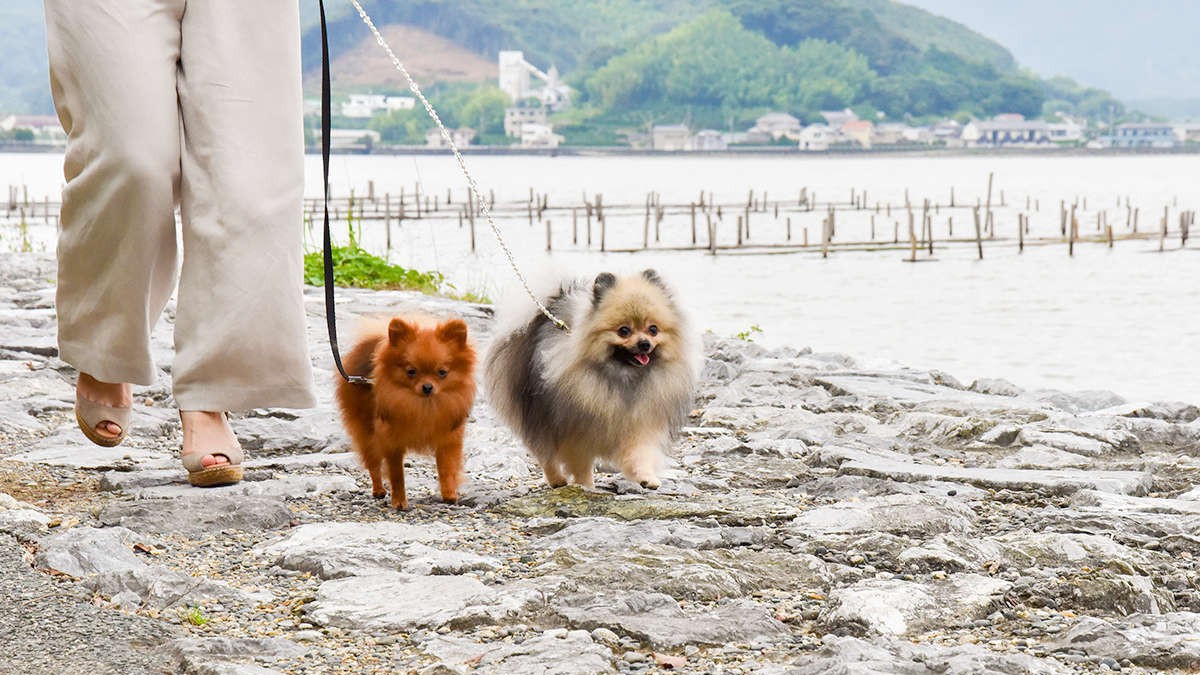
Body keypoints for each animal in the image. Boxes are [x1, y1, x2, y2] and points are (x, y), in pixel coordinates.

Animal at [336, 317, 475, 506]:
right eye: (411, 371)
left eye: (442, 372)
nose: (427, 387)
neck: (423, 406)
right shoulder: (391, 442)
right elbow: (396, 475)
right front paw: (399, 501)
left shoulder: (448, 439)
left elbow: (447, 468)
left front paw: (449, 494)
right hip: (367, 434)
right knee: (373, 464)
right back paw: (378, 490)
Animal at [482, 269, 700, 487]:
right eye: (624, 330)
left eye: (653, 329)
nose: (644, 344)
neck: (623, 378)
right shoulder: (576, 432)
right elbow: (580, 464)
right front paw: (585, 485)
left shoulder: (639, 423)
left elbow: (640, 452)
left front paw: (646, 477)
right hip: (538, 416)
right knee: (545, 454)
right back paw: (557, 480)